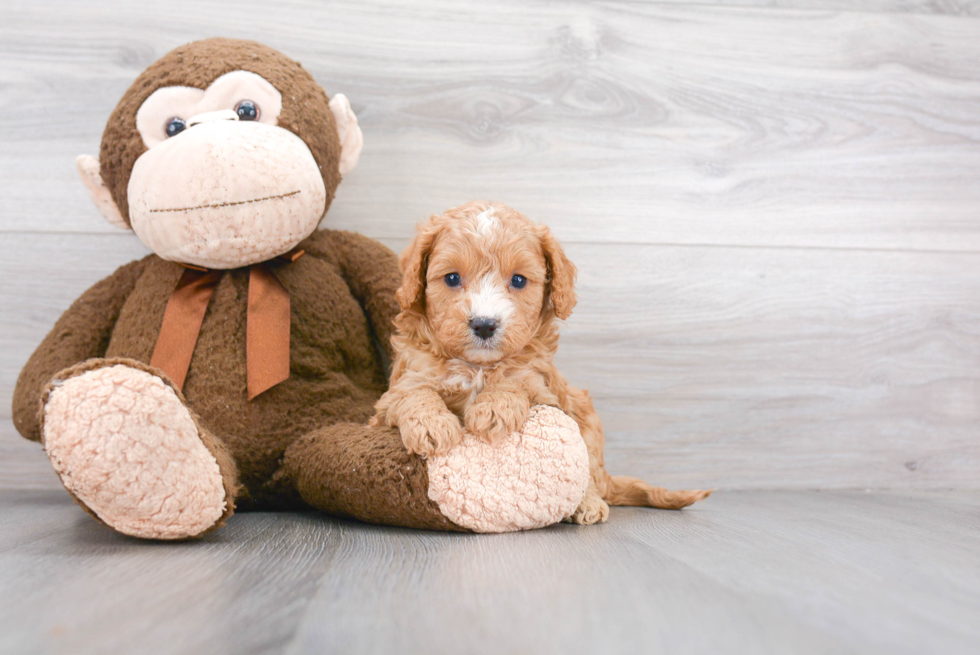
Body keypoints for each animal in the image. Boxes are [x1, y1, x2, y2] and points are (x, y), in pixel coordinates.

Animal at [372, 202, 708, 524]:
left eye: (519, 280)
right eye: (452, 278)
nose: (484, 324)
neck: (477, 366)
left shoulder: (543, 390)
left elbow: (515, 380)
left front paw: (492, 408)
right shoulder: (394, 393)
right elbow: (414, 393)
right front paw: (433, 425)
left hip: (584, 417)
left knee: (589, 474)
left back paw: (587, 504)